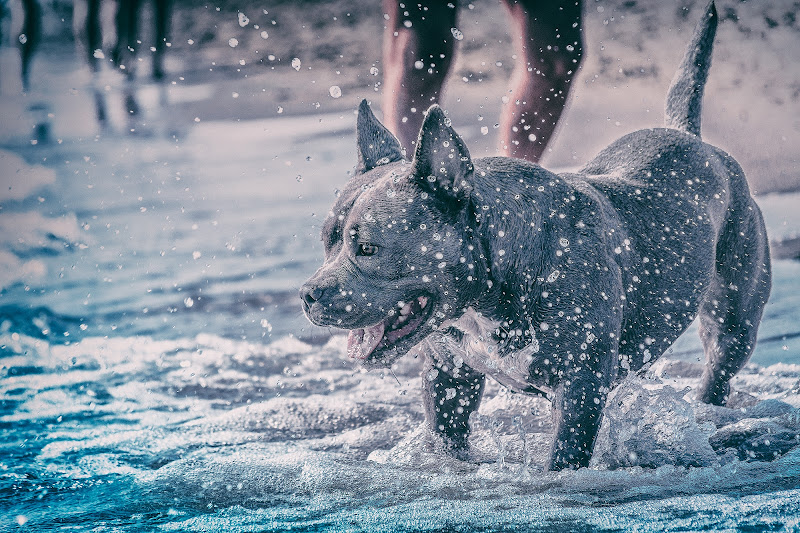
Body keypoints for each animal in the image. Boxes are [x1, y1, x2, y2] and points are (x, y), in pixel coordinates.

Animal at [298, 3, 768, 470]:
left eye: (367, 248)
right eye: (326, 245)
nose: (307, 293)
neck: (490, 285)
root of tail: (689, 136)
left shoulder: (580, 386)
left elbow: (564, 456)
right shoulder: (448, 376)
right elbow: (446, 437)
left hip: (733, 317)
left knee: (719, 366)